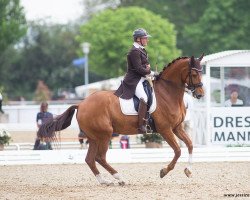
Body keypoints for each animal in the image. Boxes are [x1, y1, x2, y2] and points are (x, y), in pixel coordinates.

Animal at [38, 54, 204, 186]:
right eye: (194, 74)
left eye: (201, 72)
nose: (200, 94)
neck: (167, 93)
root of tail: (81, 104)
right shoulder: (165, 129)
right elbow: (178, 150)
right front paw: (164, 171)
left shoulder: (177, 127)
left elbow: (190, 145)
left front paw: (188, 170)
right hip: (105, 134)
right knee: (100, 157)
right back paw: (120, 178)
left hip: (94, 137)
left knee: (90, 159)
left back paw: (104, 181)